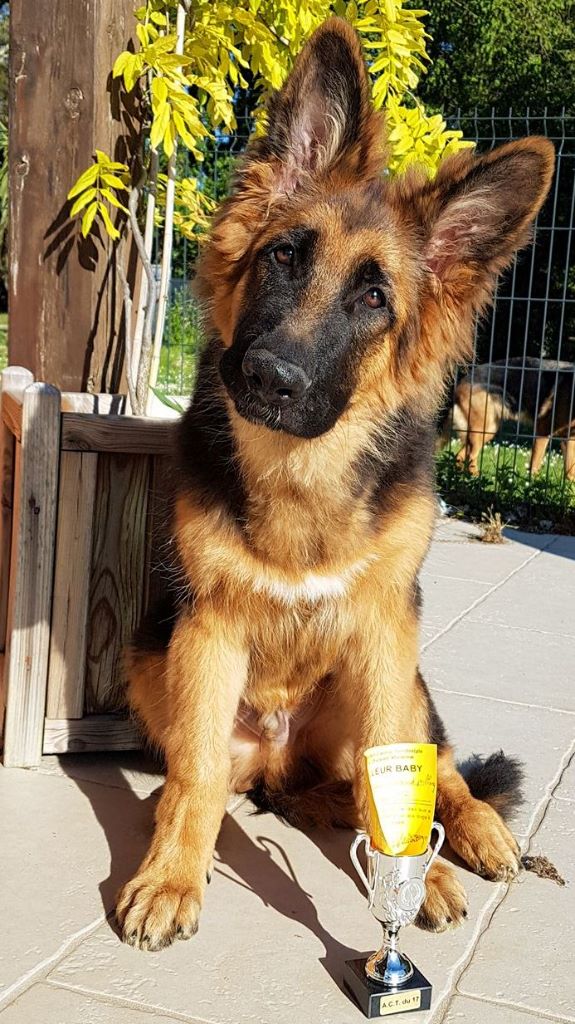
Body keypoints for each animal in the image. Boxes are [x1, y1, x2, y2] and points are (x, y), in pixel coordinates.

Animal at [115, 18, 552, 950]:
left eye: (374, 300)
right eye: (283, 256)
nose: (269, 377)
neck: (301, 474)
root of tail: (288, 757)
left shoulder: (386, 631)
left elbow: (403, 777)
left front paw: (415, 878)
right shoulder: (205, 629)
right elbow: (195, 775)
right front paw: (171, 876)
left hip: (401, 677)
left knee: (433, 767)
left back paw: (476, 836)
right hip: (150, 656)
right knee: (263, 784)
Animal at [439, 356, 568, 475]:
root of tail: (462, 381)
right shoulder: (542, 431)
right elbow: (535, 465)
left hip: (486, 431)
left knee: (460, 456)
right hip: (482, 430)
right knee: (470, 457)